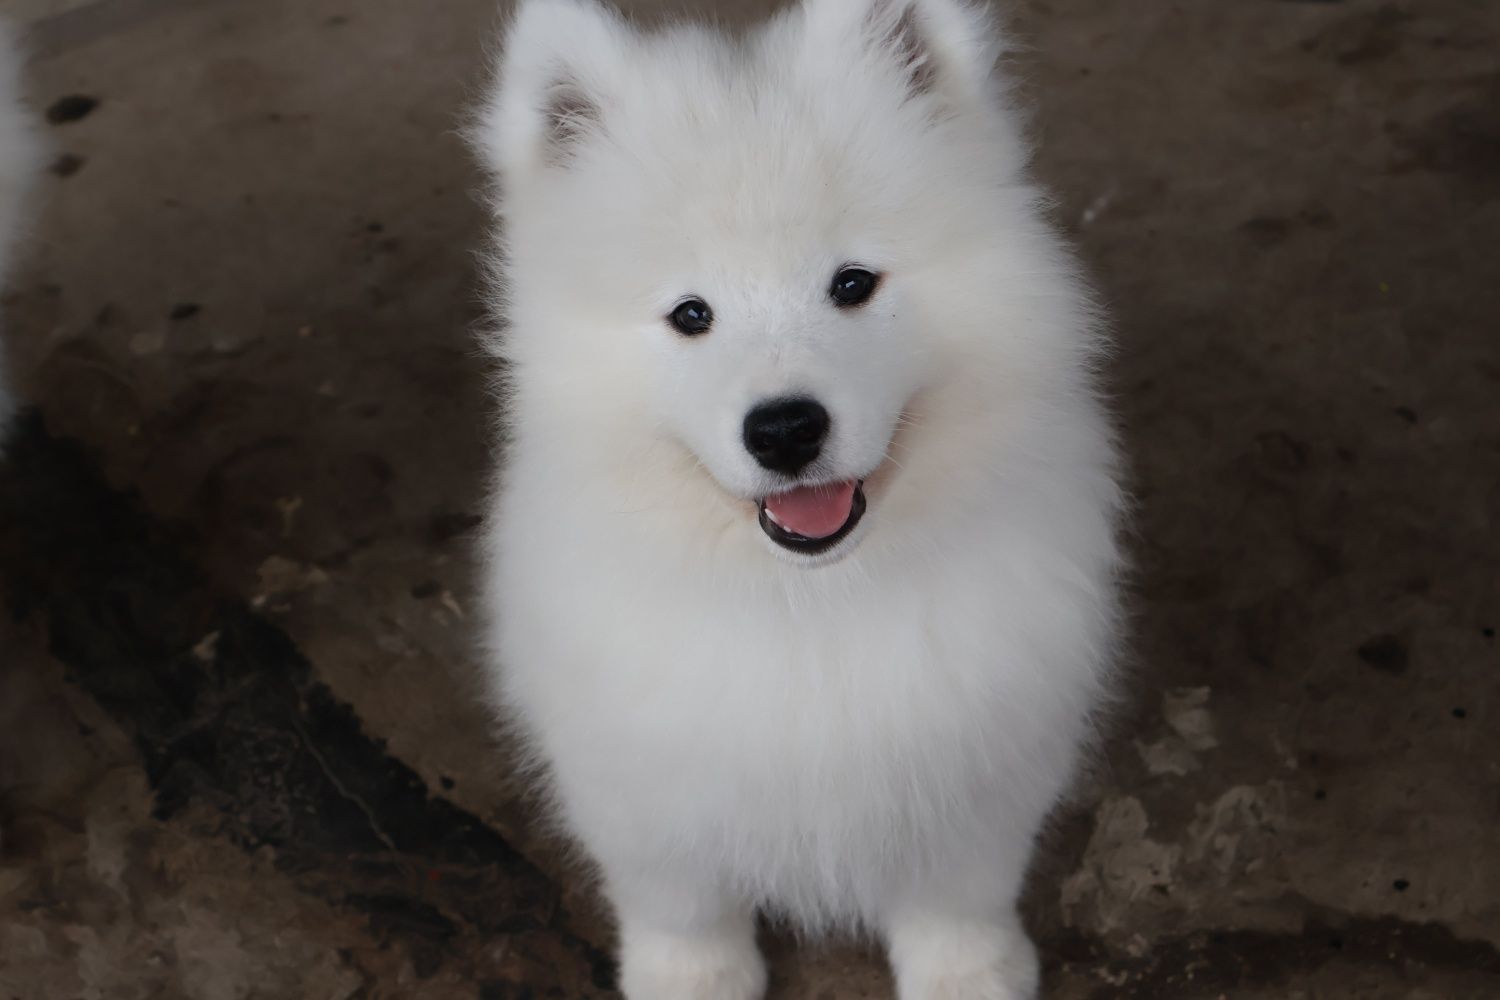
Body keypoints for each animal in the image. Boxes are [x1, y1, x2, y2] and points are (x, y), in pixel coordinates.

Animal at [474, 1, 1122, 1000]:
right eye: (691, 314)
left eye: (852, 284)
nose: (784, 430)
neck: (809, 599)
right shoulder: (637, 778)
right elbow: (681, 902)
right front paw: (692, 980)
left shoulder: (985, 755)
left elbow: (959, 891)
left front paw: (967, 973)